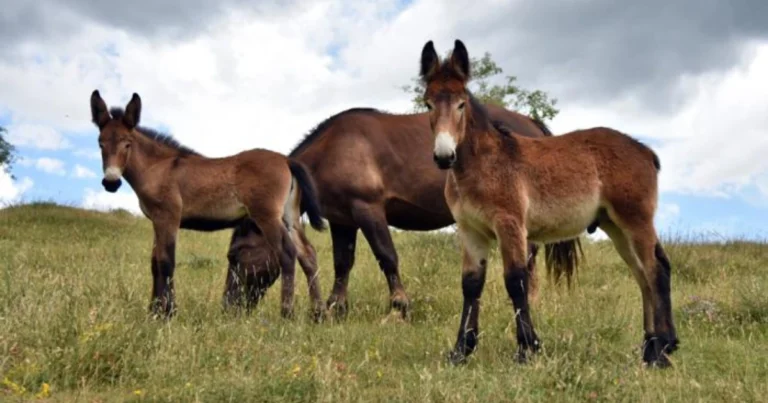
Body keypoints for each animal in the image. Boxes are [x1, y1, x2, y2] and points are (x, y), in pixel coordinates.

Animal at [89, 90, 326, 319]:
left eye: (127, 144)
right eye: (100, 143)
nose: (111, 182)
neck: (159, 167)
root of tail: (286, 160)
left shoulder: (168, 217)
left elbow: (166, 262)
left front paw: (169, 313)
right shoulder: (156, 220)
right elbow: (155, 263)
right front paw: (154, 312)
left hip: (267, 215)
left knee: (287, 252)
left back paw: (287, 314)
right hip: (290, 216)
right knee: (307, 254)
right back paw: (318, 314)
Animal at [225, 102, 583, 319]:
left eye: (235, 255)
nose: (229, 305)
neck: (334, 150)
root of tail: (531, 124)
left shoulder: (368, 210)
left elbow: (387, 256)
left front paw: (399, 306)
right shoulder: (343, 220)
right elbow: (342, 263)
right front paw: (336, 307)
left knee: (529, 253)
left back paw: (528, 300)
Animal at [418, 40, 677, 367]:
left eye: (461, 104)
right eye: (428, 103)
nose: (443, 156)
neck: (483, 164)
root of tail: (645, 152)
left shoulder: (510, 225)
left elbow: (516, 281)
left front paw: (527, 349)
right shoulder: (471, 231)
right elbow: (471, 284)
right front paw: (461, 351)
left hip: (635, 220)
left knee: (656, 270)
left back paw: (663, 349)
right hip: (616, 227)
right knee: (643, 275)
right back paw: (650, 350)